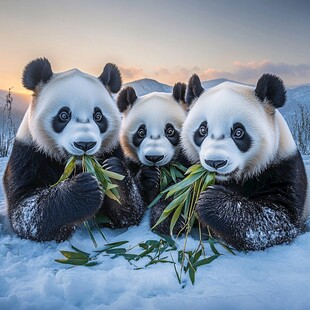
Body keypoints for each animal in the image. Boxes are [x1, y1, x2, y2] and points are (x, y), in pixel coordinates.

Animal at [3, 57, 144, 242]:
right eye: (64, 115)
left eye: (98, 116)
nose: (85, 144)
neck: (76, 164)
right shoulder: (29, 153)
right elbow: (26, 210)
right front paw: (84, 189)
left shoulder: (112, 149)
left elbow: (129, 213)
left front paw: (113, 174)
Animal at [116, 83, 189, 231]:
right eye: (141, 132)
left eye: (170, 131)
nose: (154, 157)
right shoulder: (130, 161)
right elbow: (132, 208)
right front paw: (148, 176)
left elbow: (177, 190)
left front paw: (170, 220)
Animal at [183, 73, 308, 252]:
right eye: (202, 130)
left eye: (238, 132)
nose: (215, 162)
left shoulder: (283, 166)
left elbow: (276, 220)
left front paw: (210, 200)